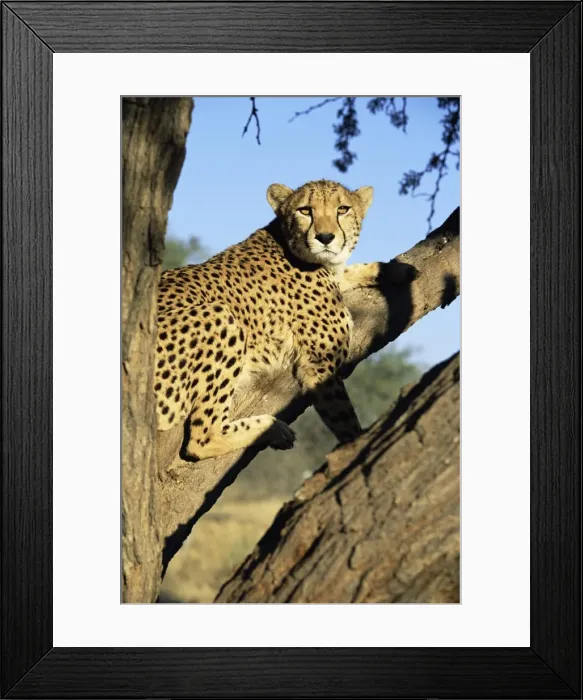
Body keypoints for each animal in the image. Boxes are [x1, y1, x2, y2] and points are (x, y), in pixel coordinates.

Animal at [155, 178, 380, 462]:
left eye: (343, 209)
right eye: (305, 210)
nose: (325, 237)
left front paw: (390, 270)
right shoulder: (319, 366)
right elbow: (344, 420)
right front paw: (358, 449)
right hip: (220, 316)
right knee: (201, 439)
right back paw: (272, 427)